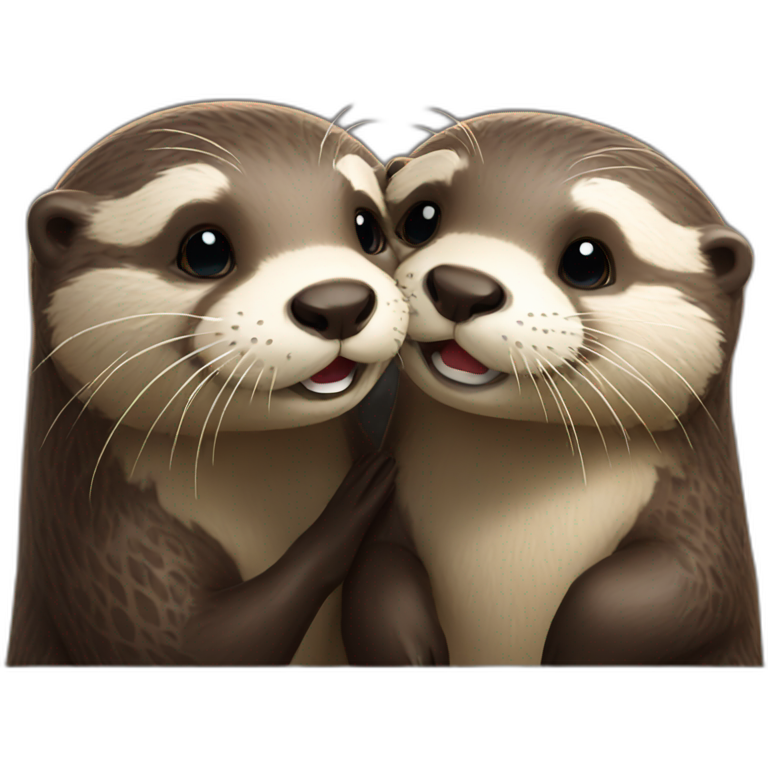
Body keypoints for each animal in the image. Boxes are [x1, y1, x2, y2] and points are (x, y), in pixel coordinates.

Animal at [7, 101, 406, 666]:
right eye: (204, 249)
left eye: (367, 225)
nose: (339, 304)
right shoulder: (100, 548)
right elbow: (194, 645)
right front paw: (352, 503)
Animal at [342, 110, 763, 666]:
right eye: (421, 218)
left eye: (587, 260)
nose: (461, 287)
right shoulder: (392, 505)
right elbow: (374, 568)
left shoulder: (704, 529)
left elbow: (687, 590)